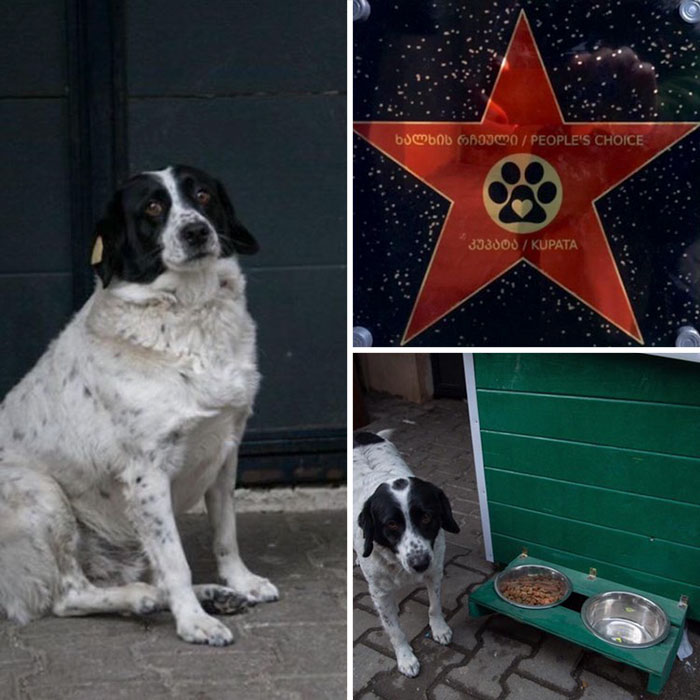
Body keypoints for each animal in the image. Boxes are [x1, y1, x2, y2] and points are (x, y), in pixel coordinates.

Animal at [0, 164, 278, 644]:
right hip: (41, 493)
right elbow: (176, 562)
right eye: (152, 207)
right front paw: (193, 623)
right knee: (69, 595)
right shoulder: (147, 473)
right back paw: (142, 599)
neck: (189, 311)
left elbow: (225, 533)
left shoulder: (226, 451)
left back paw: (209, 594)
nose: (195, 231)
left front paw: (239, 582)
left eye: (203, 195)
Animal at [352, 432, 462, 680]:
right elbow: (395, 630)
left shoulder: (434, 571)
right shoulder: (380, 594)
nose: (420, 563)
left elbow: (434, 606)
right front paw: (405, 658)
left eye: (427, 517)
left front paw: (439, 629)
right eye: (391, 524)